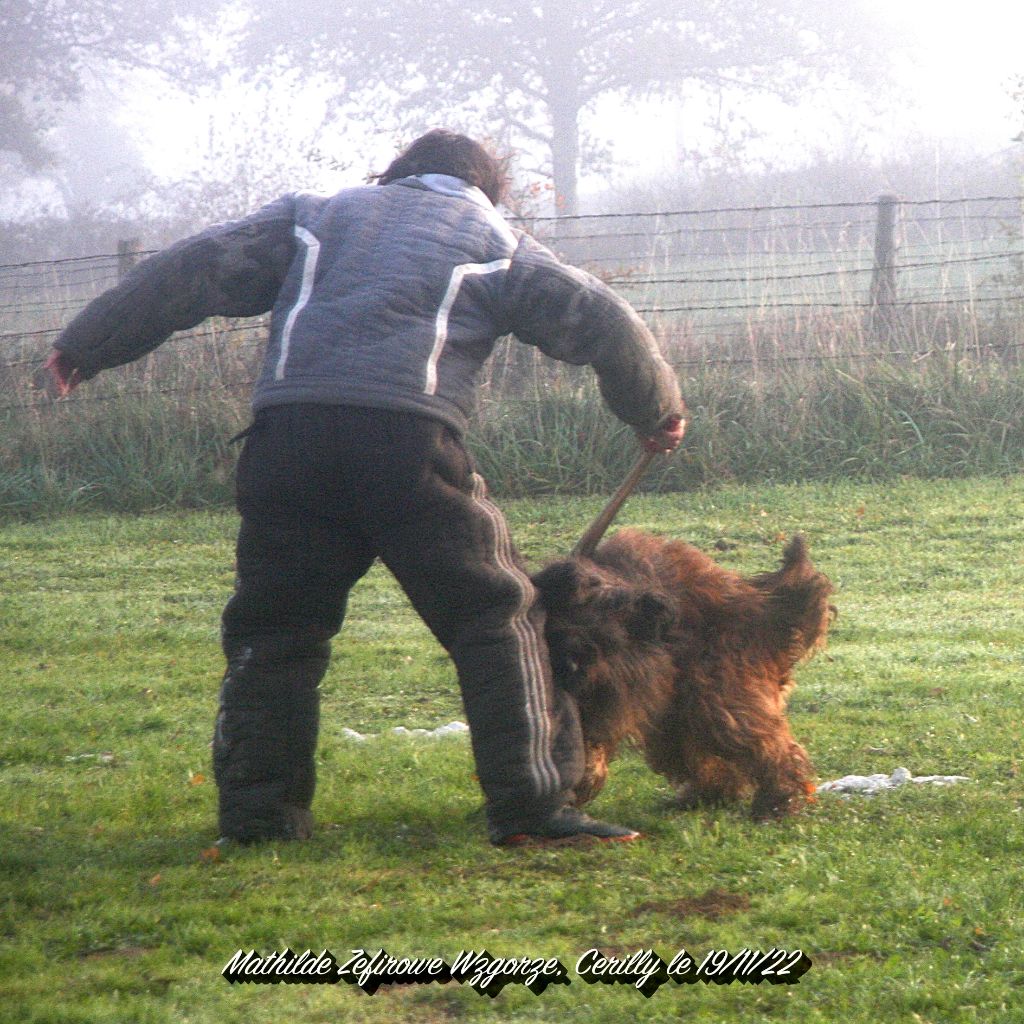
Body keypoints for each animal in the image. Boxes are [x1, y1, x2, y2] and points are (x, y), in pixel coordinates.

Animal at [532, 532, 835, 819]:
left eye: (606, 635)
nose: (572, 665)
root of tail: (763, 608)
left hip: (720, 696)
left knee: (765, 743)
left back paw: (775, 801)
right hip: (678, 714)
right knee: (700, 754)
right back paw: (707, 795)